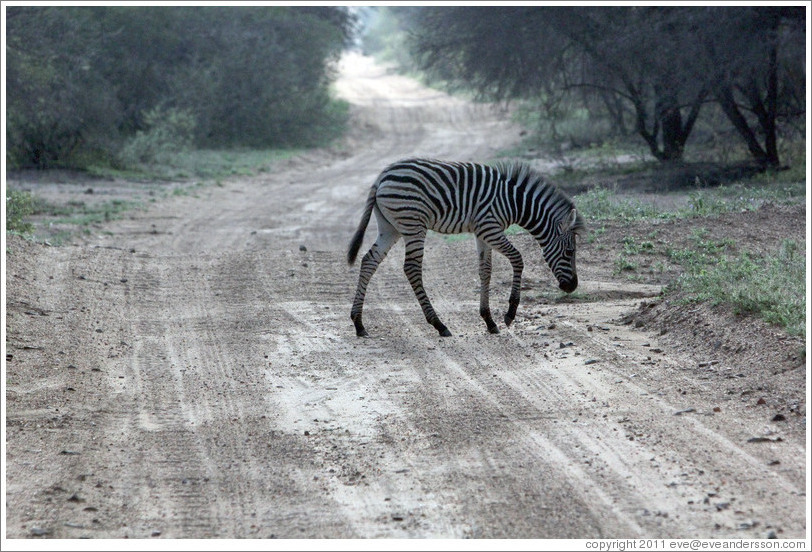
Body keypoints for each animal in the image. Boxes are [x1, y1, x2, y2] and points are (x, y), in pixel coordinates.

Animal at [347, 158, 585, 337]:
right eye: (570, 252)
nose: (572, 286)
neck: (513, 202)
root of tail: (382, 176)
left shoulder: (483, 232)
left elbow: (485, 270)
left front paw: (489, 321)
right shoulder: (490, 228)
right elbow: (518, 259)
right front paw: (509, 313)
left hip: (390, 227)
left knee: (369, 260)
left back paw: (359, 323)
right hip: (413, 224)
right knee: (411, 268)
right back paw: (439, 324)